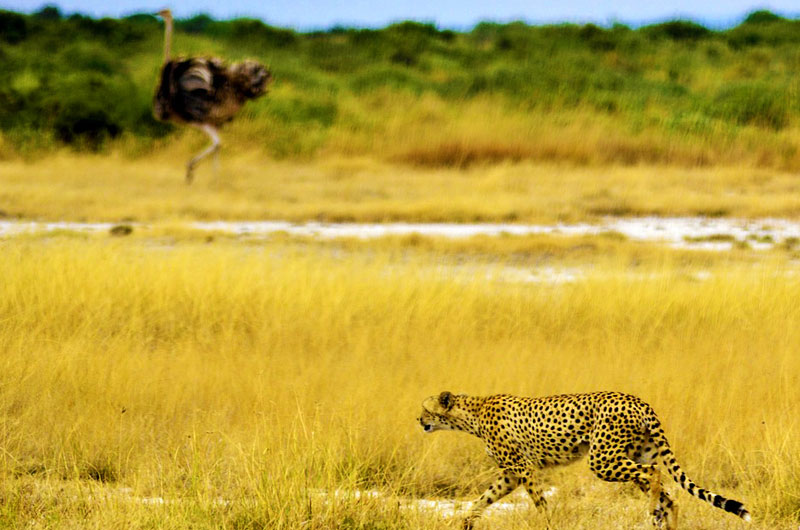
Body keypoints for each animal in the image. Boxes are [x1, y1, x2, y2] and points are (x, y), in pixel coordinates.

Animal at [418, 388, 752, 528]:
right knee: (668, 493)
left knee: (654, 475)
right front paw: (464, 524)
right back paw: (665, 520)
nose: (418, 421)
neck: (471, 413)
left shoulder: (523, 469)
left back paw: (653, 512)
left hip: (602, 459)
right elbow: (482, 500)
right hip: (633, 453)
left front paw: (549, 525)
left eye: (425, 409)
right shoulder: (510, 474)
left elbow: (540, 504)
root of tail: (638, 400)